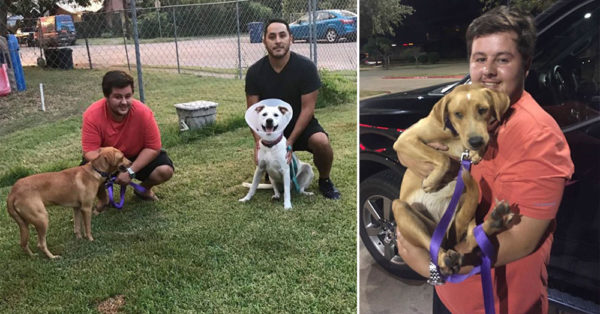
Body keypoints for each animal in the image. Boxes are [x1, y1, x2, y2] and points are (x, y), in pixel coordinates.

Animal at [392, 84, 512, 276]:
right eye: (458, 114)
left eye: (483, 109)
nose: (475, 141)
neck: (454, 134)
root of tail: (446, 235)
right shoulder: (406, 139)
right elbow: (443, 157)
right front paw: (432, 181)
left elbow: (483, 141)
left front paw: (477, 152)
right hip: (401, 209)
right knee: (433, 246)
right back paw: (444, 257)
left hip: (467, 205)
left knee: (472, 240)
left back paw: (494, 222)